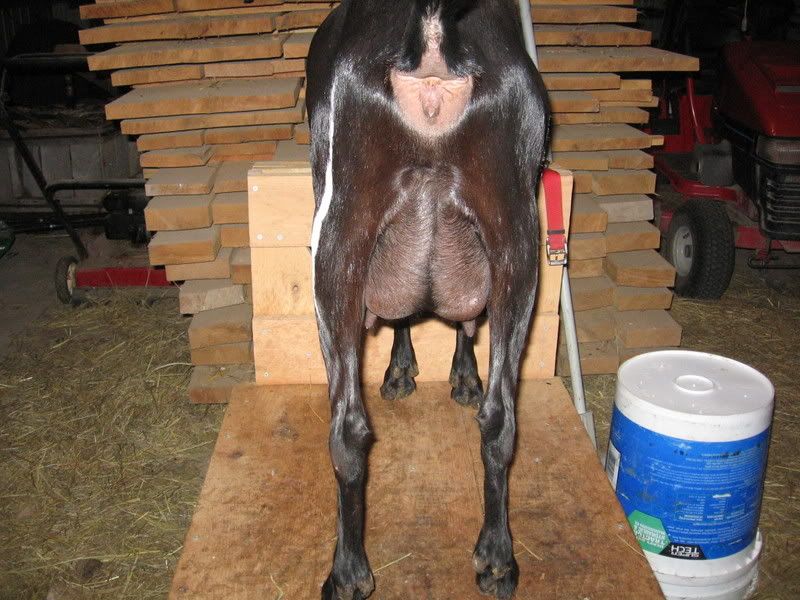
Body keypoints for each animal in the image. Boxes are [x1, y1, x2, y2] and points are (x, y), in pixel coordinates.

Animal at [306, 1, 550, 597]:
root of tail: (436, 40)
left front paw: (407, 371)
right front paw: (450, 376)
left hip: (337, 229)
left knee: (347, 425)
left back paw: (347, 572)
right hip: (516, 233)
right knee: (499, 418)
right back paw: (495, 559)